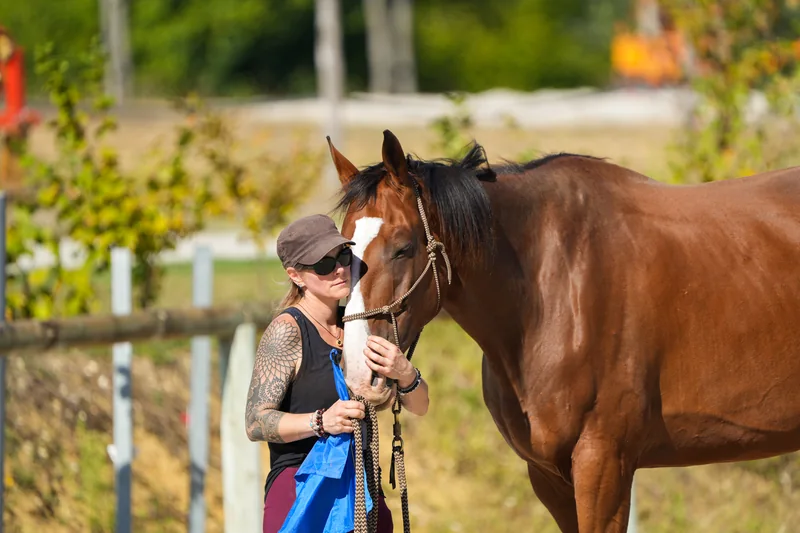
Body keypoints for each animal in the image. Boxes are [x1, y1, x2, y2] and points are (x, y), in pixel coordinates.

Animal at [329, 129, 800, 532]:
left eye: (403, 247)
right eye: (343, 251)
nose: (359, 373)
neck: (553, 283)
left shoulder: (603, 465)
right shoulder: (549, 476)